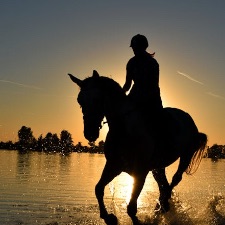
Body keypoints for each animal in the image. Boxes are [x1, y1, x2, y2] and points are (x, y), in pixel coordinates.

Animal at [68, 71, 207, 225]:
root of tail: (188, 118)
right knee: (163, 185)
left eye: (98, 99)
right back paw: (161, 207)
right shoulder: (113, 166)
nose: (90, 133)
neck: (124, 129)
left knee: (175, 179)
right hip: (158, 167)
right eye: (80, 101)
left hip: (186, 156)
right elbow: (98, 189)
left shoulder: (140, 172)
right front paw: (109, 217)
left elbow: (131, 208)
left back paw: (163, 205)